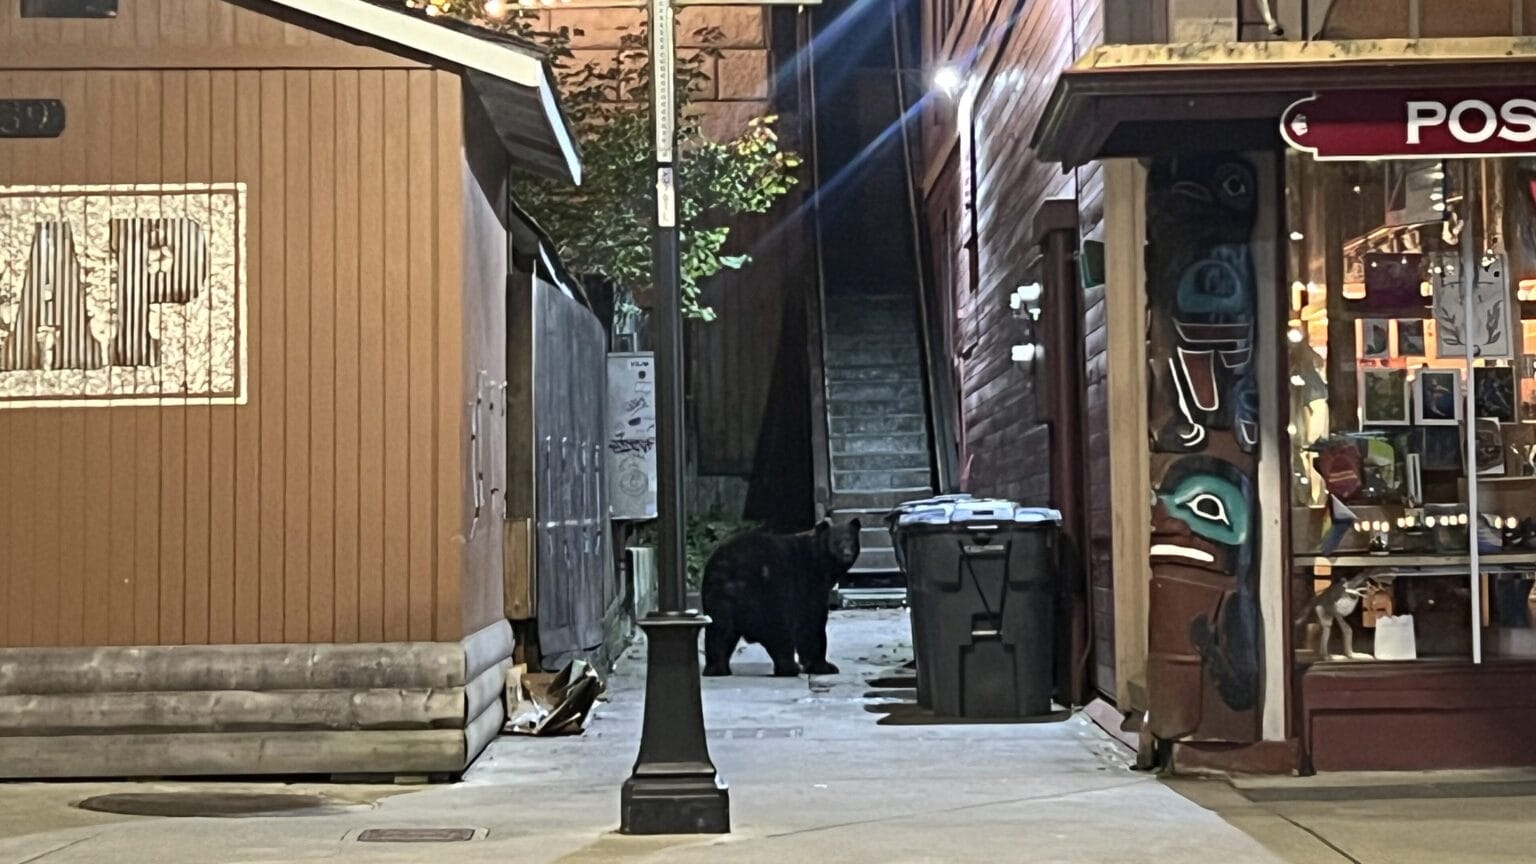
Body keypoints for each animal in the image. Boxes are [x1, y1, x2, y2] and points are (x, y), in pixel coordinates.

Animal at [701, 518, 861, 677]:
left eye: (851, 541)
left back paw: (716, 669)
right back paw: (789, 668)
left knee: (719, 632)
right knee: (777, 631)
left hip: (717, 595)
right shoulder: (808, 582)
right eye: (836, 542)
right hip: (767, 594)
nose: (847, 553)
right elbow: (811, 621)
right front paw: (824, 666)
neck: (821, 562)